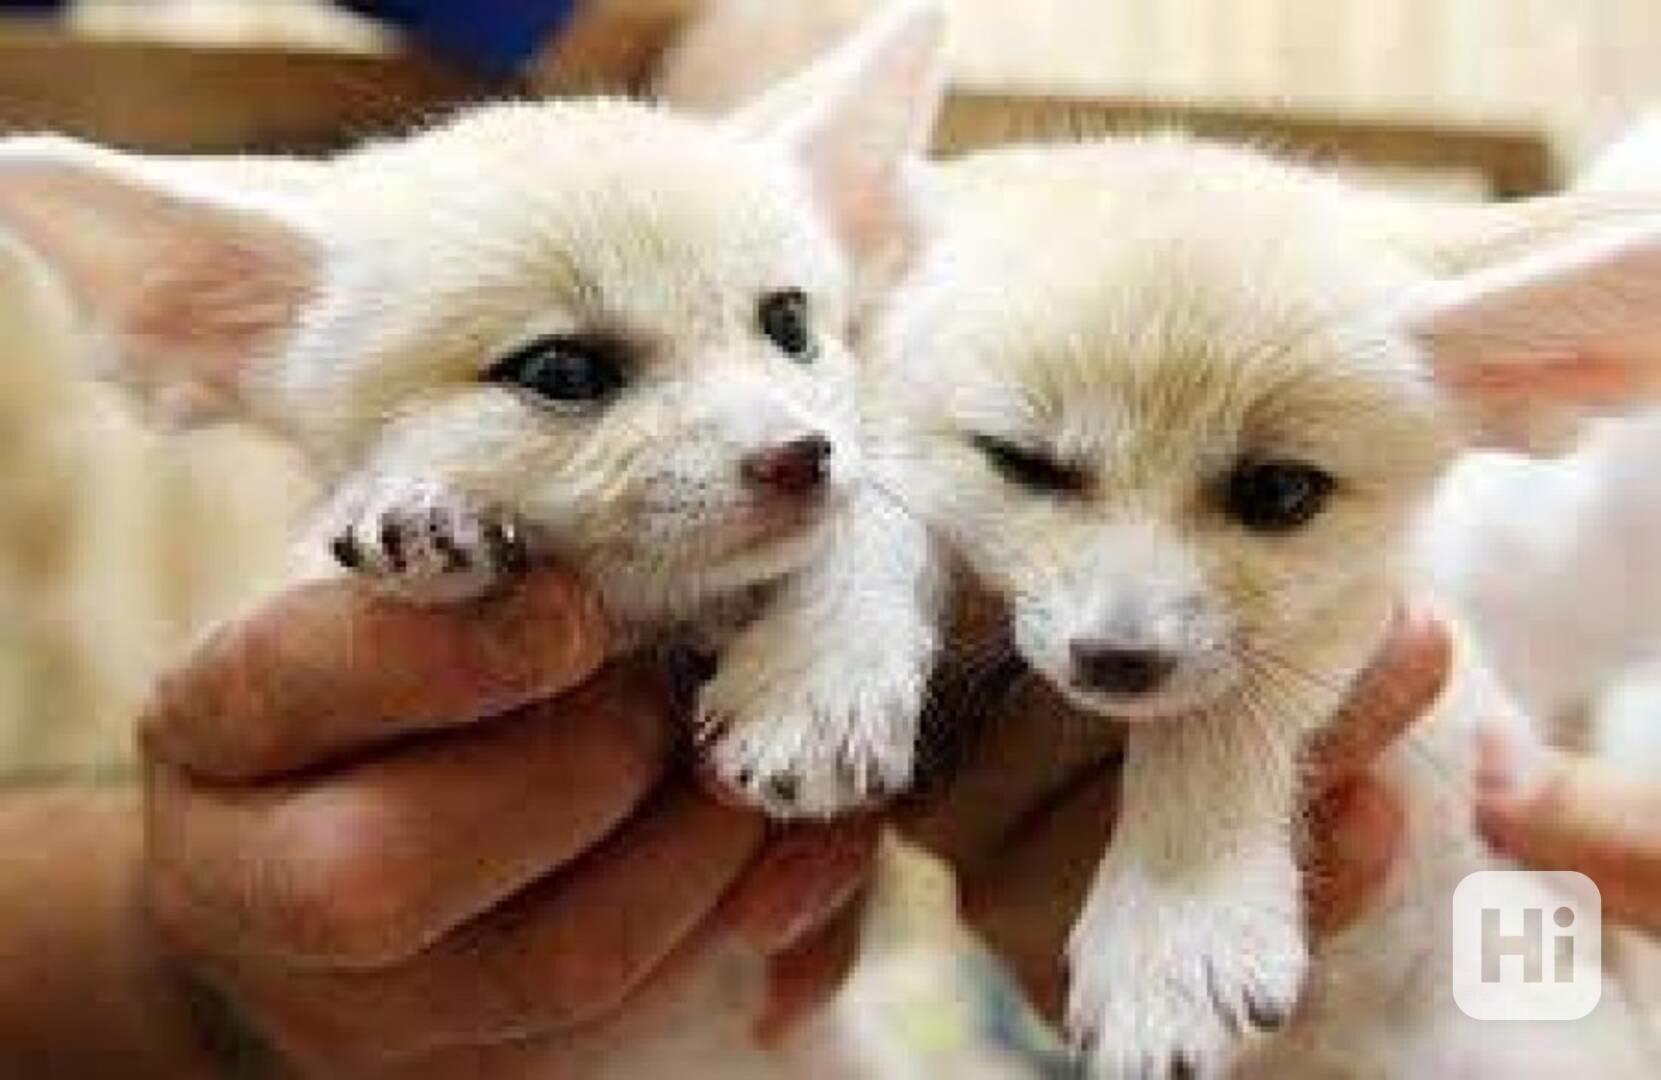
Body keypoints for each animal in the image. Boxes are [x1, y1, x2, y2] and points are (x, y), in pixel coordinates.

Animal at [0, 3, 948, 821]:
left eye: (788, 324)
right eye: (561, 370)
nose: (800, 457)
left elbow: (873, 519)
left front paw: (819, 676)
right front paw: (415, 523)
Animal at [871, 133, 1661, 1076]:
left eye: (1281, 493)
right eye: (1022, 461)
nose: (1117, 661)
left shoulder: (1364, 603)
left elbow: (1216, 709)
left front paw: (1172, 928)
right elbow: (884, 514)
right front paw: (828, 677)